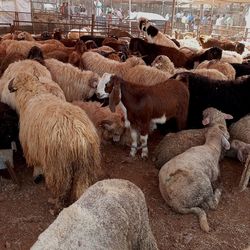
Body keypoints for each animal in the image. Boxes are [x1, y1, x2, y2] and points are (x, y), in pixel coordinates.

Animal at [8, 73, 102, 208]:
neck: (34, 94)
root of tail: (80, 138)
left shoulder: (32, 146)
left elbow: (37, 164)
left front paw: (37, 176)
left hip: (59, 168)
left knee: (61, 190)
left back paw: (55, 204)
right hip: (85, 168)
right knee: (81, 188)